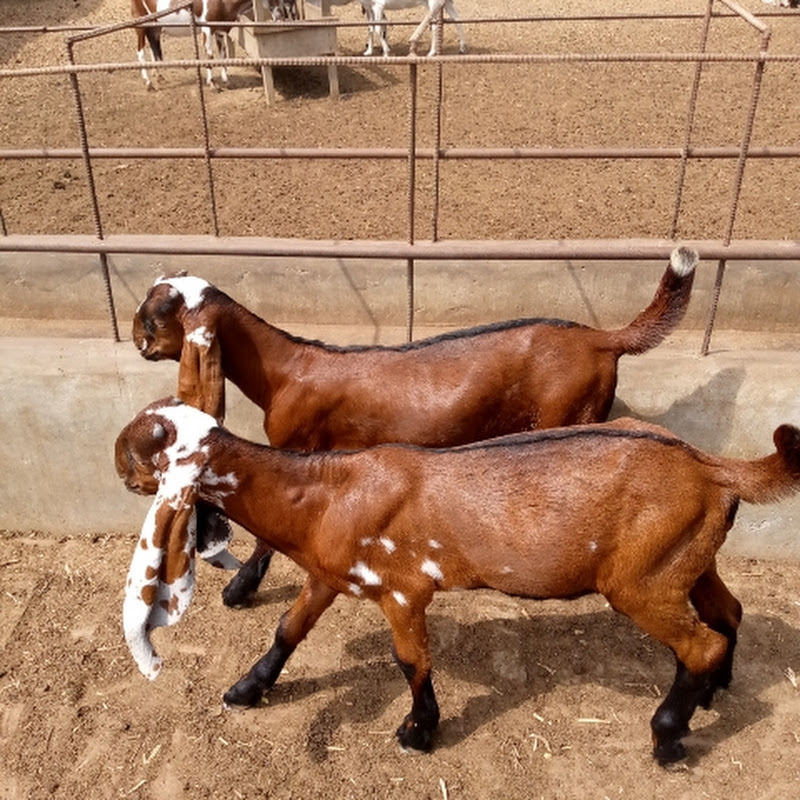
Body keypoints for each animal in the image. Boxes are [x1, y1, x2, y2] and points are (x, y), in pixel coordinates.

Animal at [116, 396, 800, 763]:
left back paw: (668, 737)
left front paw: (419, 732)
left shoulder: (401, 589)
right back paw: (711, 695)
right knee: (728, 615)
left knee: (701, 641)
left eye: (133, 448)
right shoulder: (330, 574)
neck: (324, 494)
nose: (118, 470)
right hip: (689, 560)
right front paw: (246, 689)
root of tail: (712, 468)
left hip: (640, 581)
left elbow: (411, 660)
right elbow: (288, 629)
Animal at [132, 247, 698, 607]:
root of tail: (601, 338)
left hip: (567, 416)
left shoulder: (298, 449)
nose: (138, 344)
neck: (287, 369)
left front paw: (239, 590)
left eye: (154, 318)